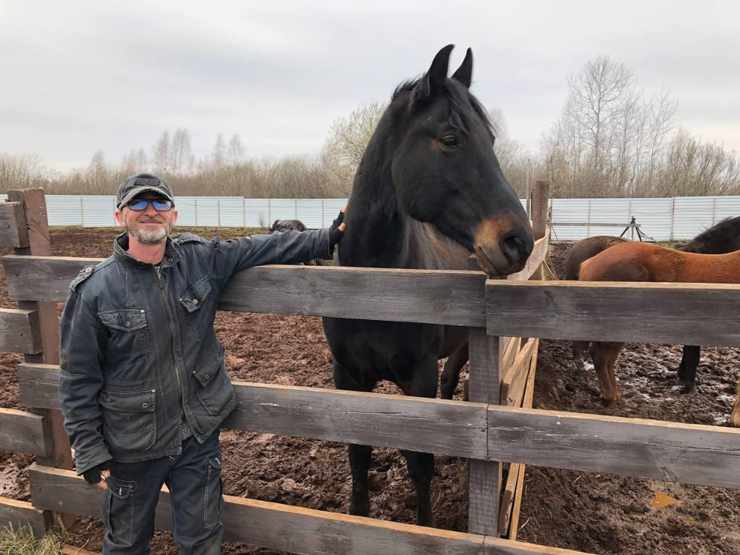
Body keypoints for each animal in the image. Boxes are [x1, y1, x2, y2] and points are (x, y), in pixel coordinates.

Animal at [322, 44, 532, 524]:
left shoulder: (417, 376)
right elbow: (358, 453)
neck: (375, 287)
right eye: (451, 138)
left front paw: (426, 525)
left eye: (491, 140)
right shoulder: (348, 376)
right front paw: (359, 515)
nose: (518, 241)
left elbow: (420, 459)